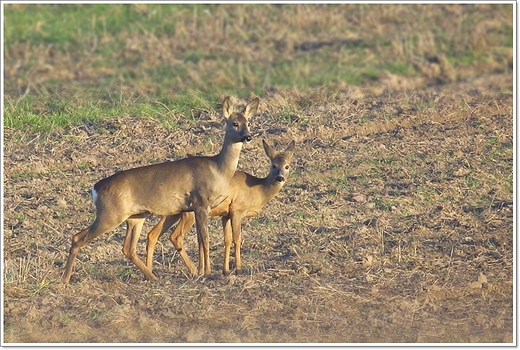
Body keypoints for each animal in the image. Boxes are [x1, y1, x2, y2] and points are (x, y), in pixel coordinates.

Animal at [61, 96, 260, 284]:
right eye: (234, 123)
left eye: (248, 123)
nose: (248, 136)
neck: (218, 170)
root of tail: (96, 188)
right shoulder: (201, 203)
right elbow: (205, 239)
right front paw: (207, 273)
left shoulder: (196, 208)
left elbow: (199, 239)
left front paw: (201, 272)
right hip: (111, 214)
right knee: (78, 238)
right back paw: (65, 279)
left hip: (135, 217)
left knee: (128, 248)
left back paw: (152, 276)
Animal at [143, 139, 296, 276]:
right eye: (274, 165)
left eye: (287, 166)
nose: (280, 178)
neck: (258, 189)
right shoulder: (237, 209)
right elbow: (237, 239)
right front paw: (238, 269)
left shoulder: (225, 214)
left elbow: (227, 240)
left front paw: (226, 270)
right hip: (189, 213)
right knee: (175, 236)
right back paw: (194, 271)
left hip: (173, 212)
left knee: (153, 234)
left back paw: (150, 271)